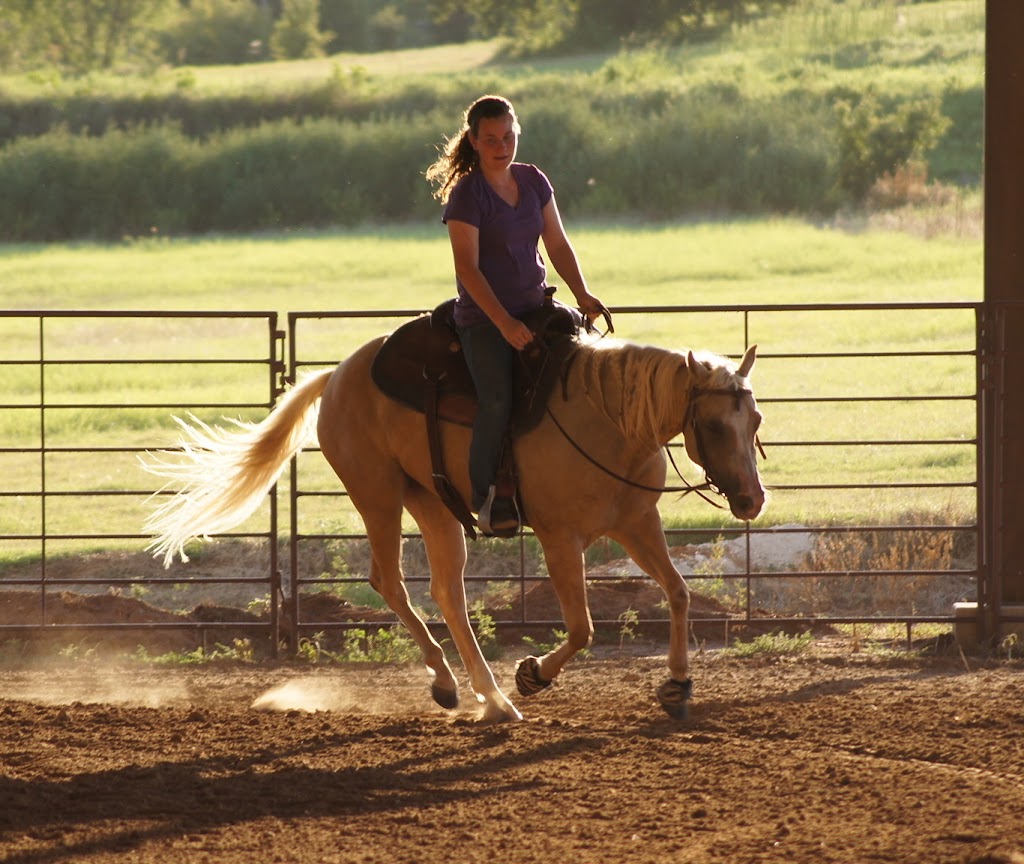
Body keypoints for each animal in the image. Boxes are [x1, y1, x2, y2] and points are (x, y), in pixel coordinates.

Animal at [148, 331, 765, 720]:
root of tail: (339, 375)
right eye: (714, 424)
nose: (753, 500)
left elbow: (679, 593)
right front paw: (533, 675)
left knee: (448, 592)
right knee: (390, 581)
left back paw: (487, 697)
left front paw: (677, 684)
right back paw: (462, 687)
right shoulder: (559, 539)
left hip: (433, 502)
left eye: (755, 419)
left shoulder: (638, 522)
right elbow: (583, 627)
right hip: (377, 494)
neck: (607, 420)